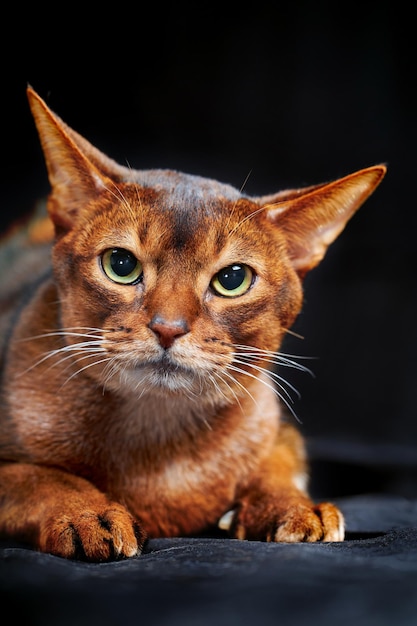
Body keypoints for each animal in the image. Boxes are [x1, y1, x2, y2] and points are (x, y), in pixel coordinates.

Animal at [0, 88, 386, 560]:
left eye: (233, 279)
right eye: (120, 264)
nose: (168, 328)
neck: (160, 452)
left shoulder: (279, 432)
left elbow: (279, 466)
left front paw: (295, 507)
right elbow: (36, 476)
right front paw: (86, 514)